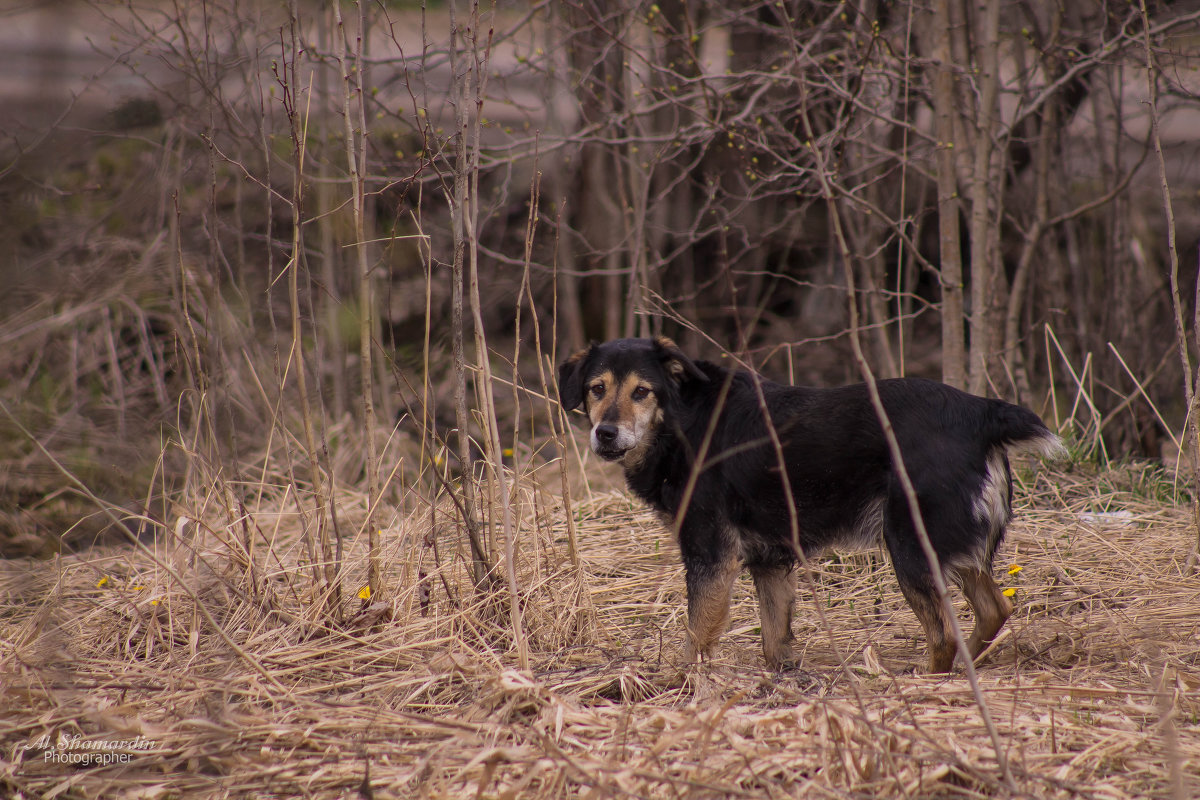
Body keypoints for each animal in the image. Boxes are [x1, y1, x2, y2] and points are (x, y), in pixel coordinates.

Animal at [556, 335, 1065, 671]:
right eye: (596, 389)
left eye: (642, 392)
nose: (605, 433)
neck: (683, 420)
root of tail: (981, 413)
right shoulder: (771, 562)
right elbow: (774, 640)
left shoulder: (710, 557)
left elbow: (696, 636)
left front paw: (680, 686)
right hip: (955, 546)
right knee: (993, 610)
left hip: (911, 546)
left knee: (943, 635)